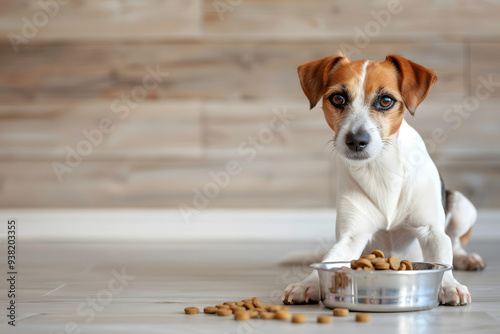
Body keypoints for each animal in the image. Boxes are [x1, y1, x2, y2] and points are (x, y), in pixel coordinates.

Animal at [284, 53, 486, 306]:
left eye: (386, 100)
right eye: (338, 98)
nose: (356, 140)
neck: (381, 168)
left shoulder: (431, 231)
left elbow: (443, 259)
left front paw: (449, 284)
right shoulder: (352, 236)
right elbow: (329, 259)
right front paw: (308, 283)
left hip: (461, 205)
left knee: (455, 243)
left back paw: (466, 259)